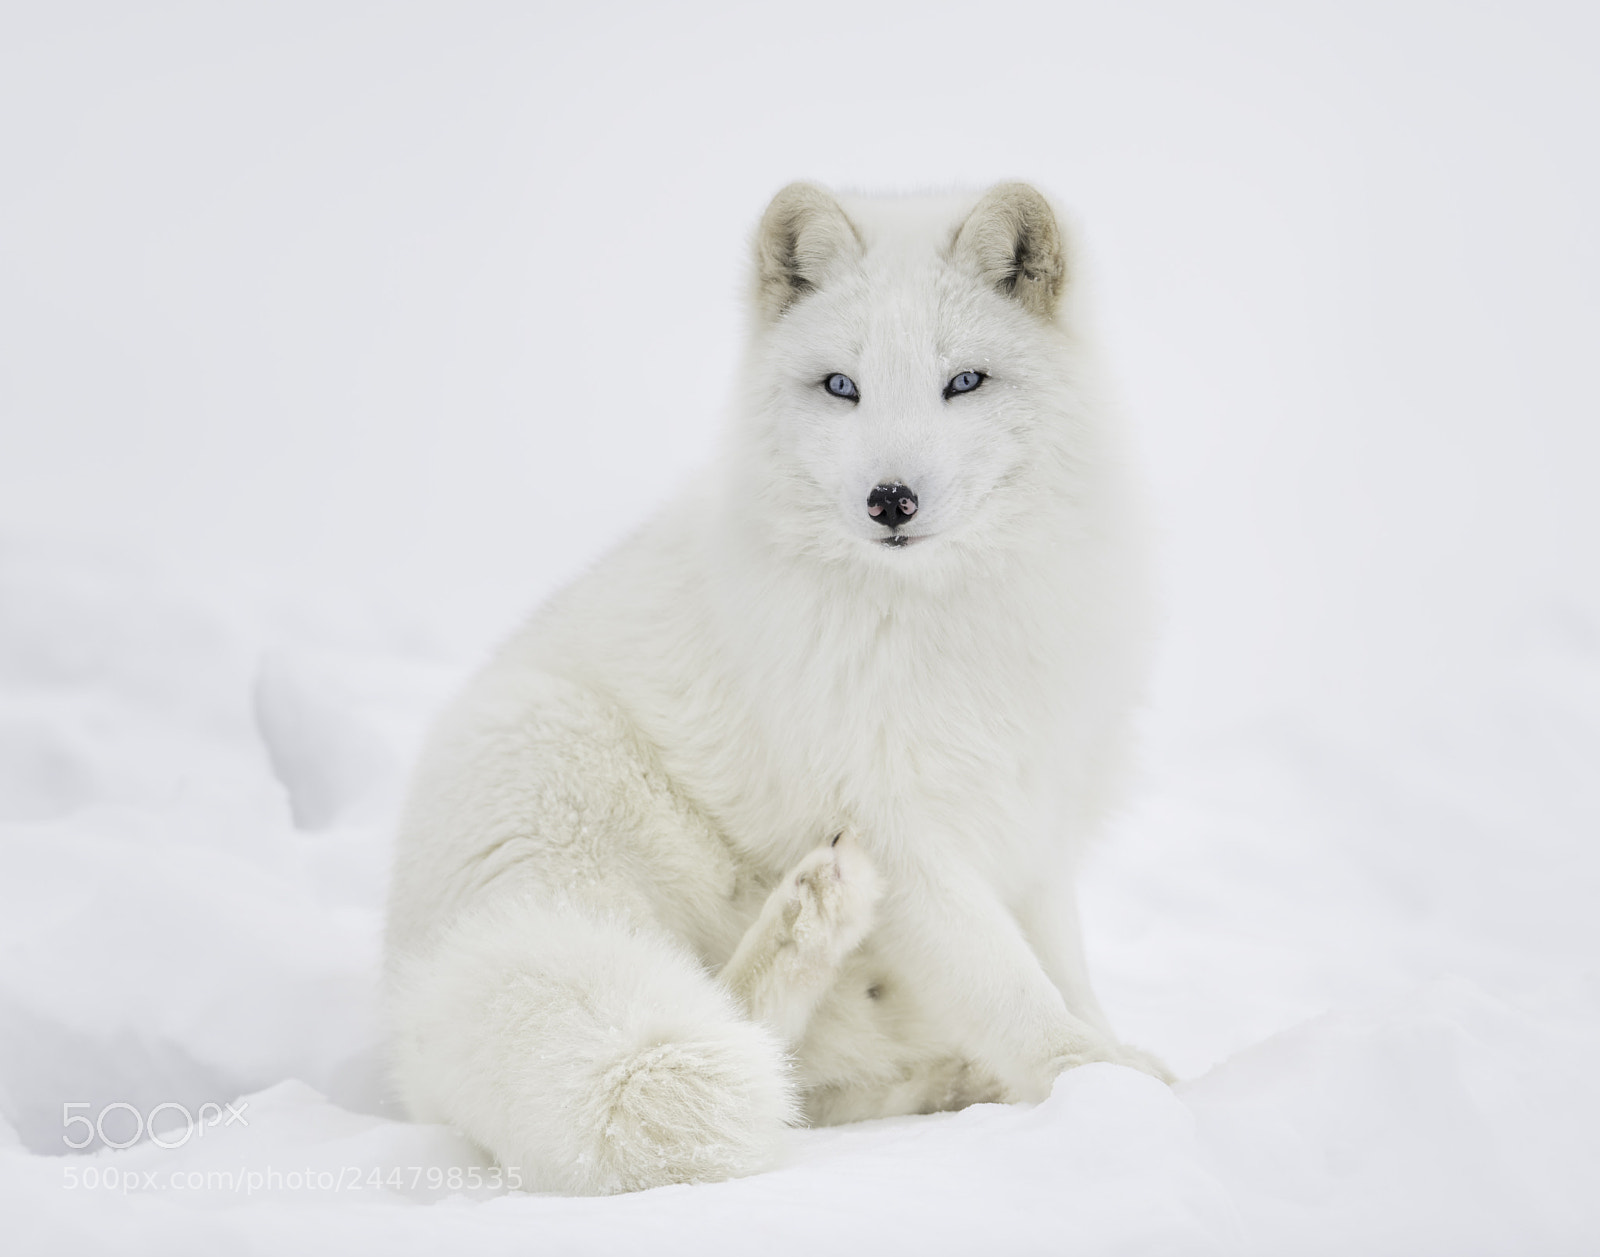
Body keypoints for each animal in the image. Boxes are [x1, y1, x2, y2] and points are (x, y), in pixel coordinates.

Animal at [384, 180, 1170, 1195]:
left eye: (965, 382)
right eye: (842, 386)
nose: (889, 499)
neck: (942, 619)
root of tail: (410, 1001)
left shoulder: (1033, 808)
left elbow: (1061, 962)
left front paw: (1108, 1062)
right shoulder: (896, 826)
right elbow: (1007, 980)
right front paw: (1099, 1082)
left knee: (799, 1076)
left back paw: (943, 1066)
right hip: (557, 785)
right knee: (730, 1035)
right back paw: (815, 913)